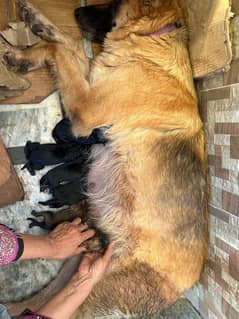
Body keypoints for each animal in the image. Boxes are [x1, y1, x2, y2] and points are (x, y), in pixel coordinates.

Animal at [4, 0, 209, 318]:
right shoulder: (91, 79)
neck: (153, 38)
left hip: (92, 281)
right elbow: (69, 43)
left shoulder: (85, 106)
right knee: (32, 302)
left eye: (113, 3)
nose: (76, 12)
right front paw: (35, 29)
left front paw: (24, 54)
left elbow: (59, 49)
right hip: (77, 263)